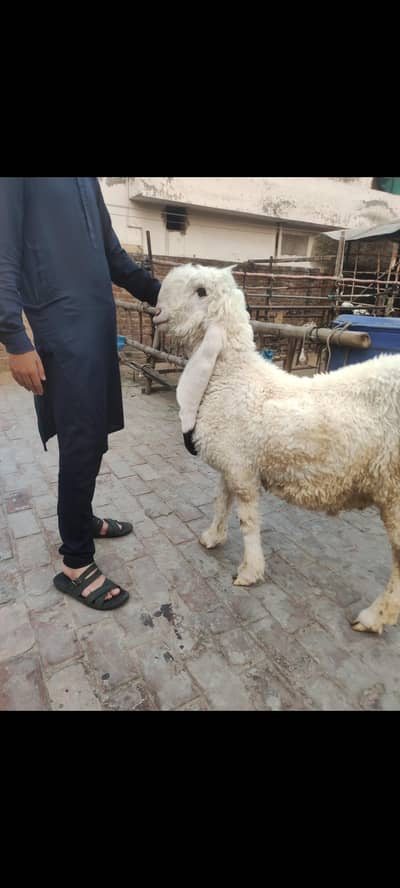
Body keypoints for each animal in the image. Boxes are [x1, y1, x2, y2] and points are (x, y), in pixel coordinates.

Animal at [154, 263, 400, 635]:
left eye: (200, 292)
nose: (156, 314)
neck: (231, 377)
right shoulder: (234, 460)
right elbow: (220, 501)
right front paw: (212, 537)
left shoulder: (242, 470)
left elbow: (248, 520)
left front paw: (249, 571)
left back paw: (373, 617)